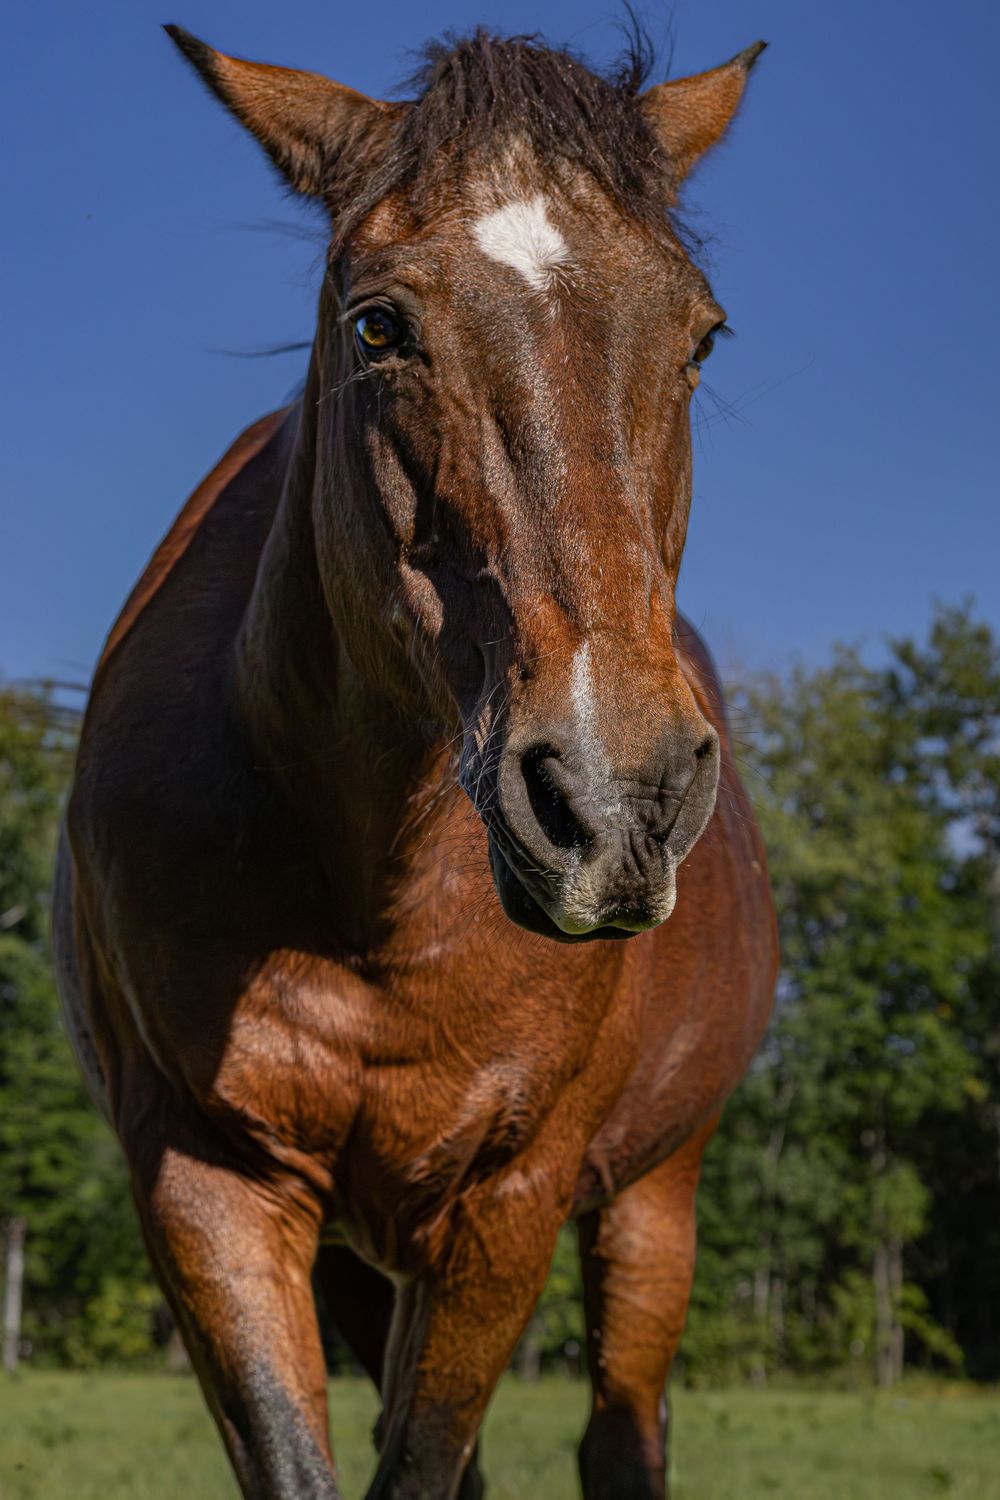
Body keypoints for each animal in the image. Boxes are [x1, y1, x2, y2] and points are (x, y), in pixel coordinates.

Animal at [53, 25, 777, 1500]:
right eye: (378, 324)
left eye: (701, 333)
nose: (615, 798)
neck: (368, 891)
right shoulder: (207, 1181)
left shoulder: (510, 1196)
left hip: (653, 1196)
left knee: (624, 1431)